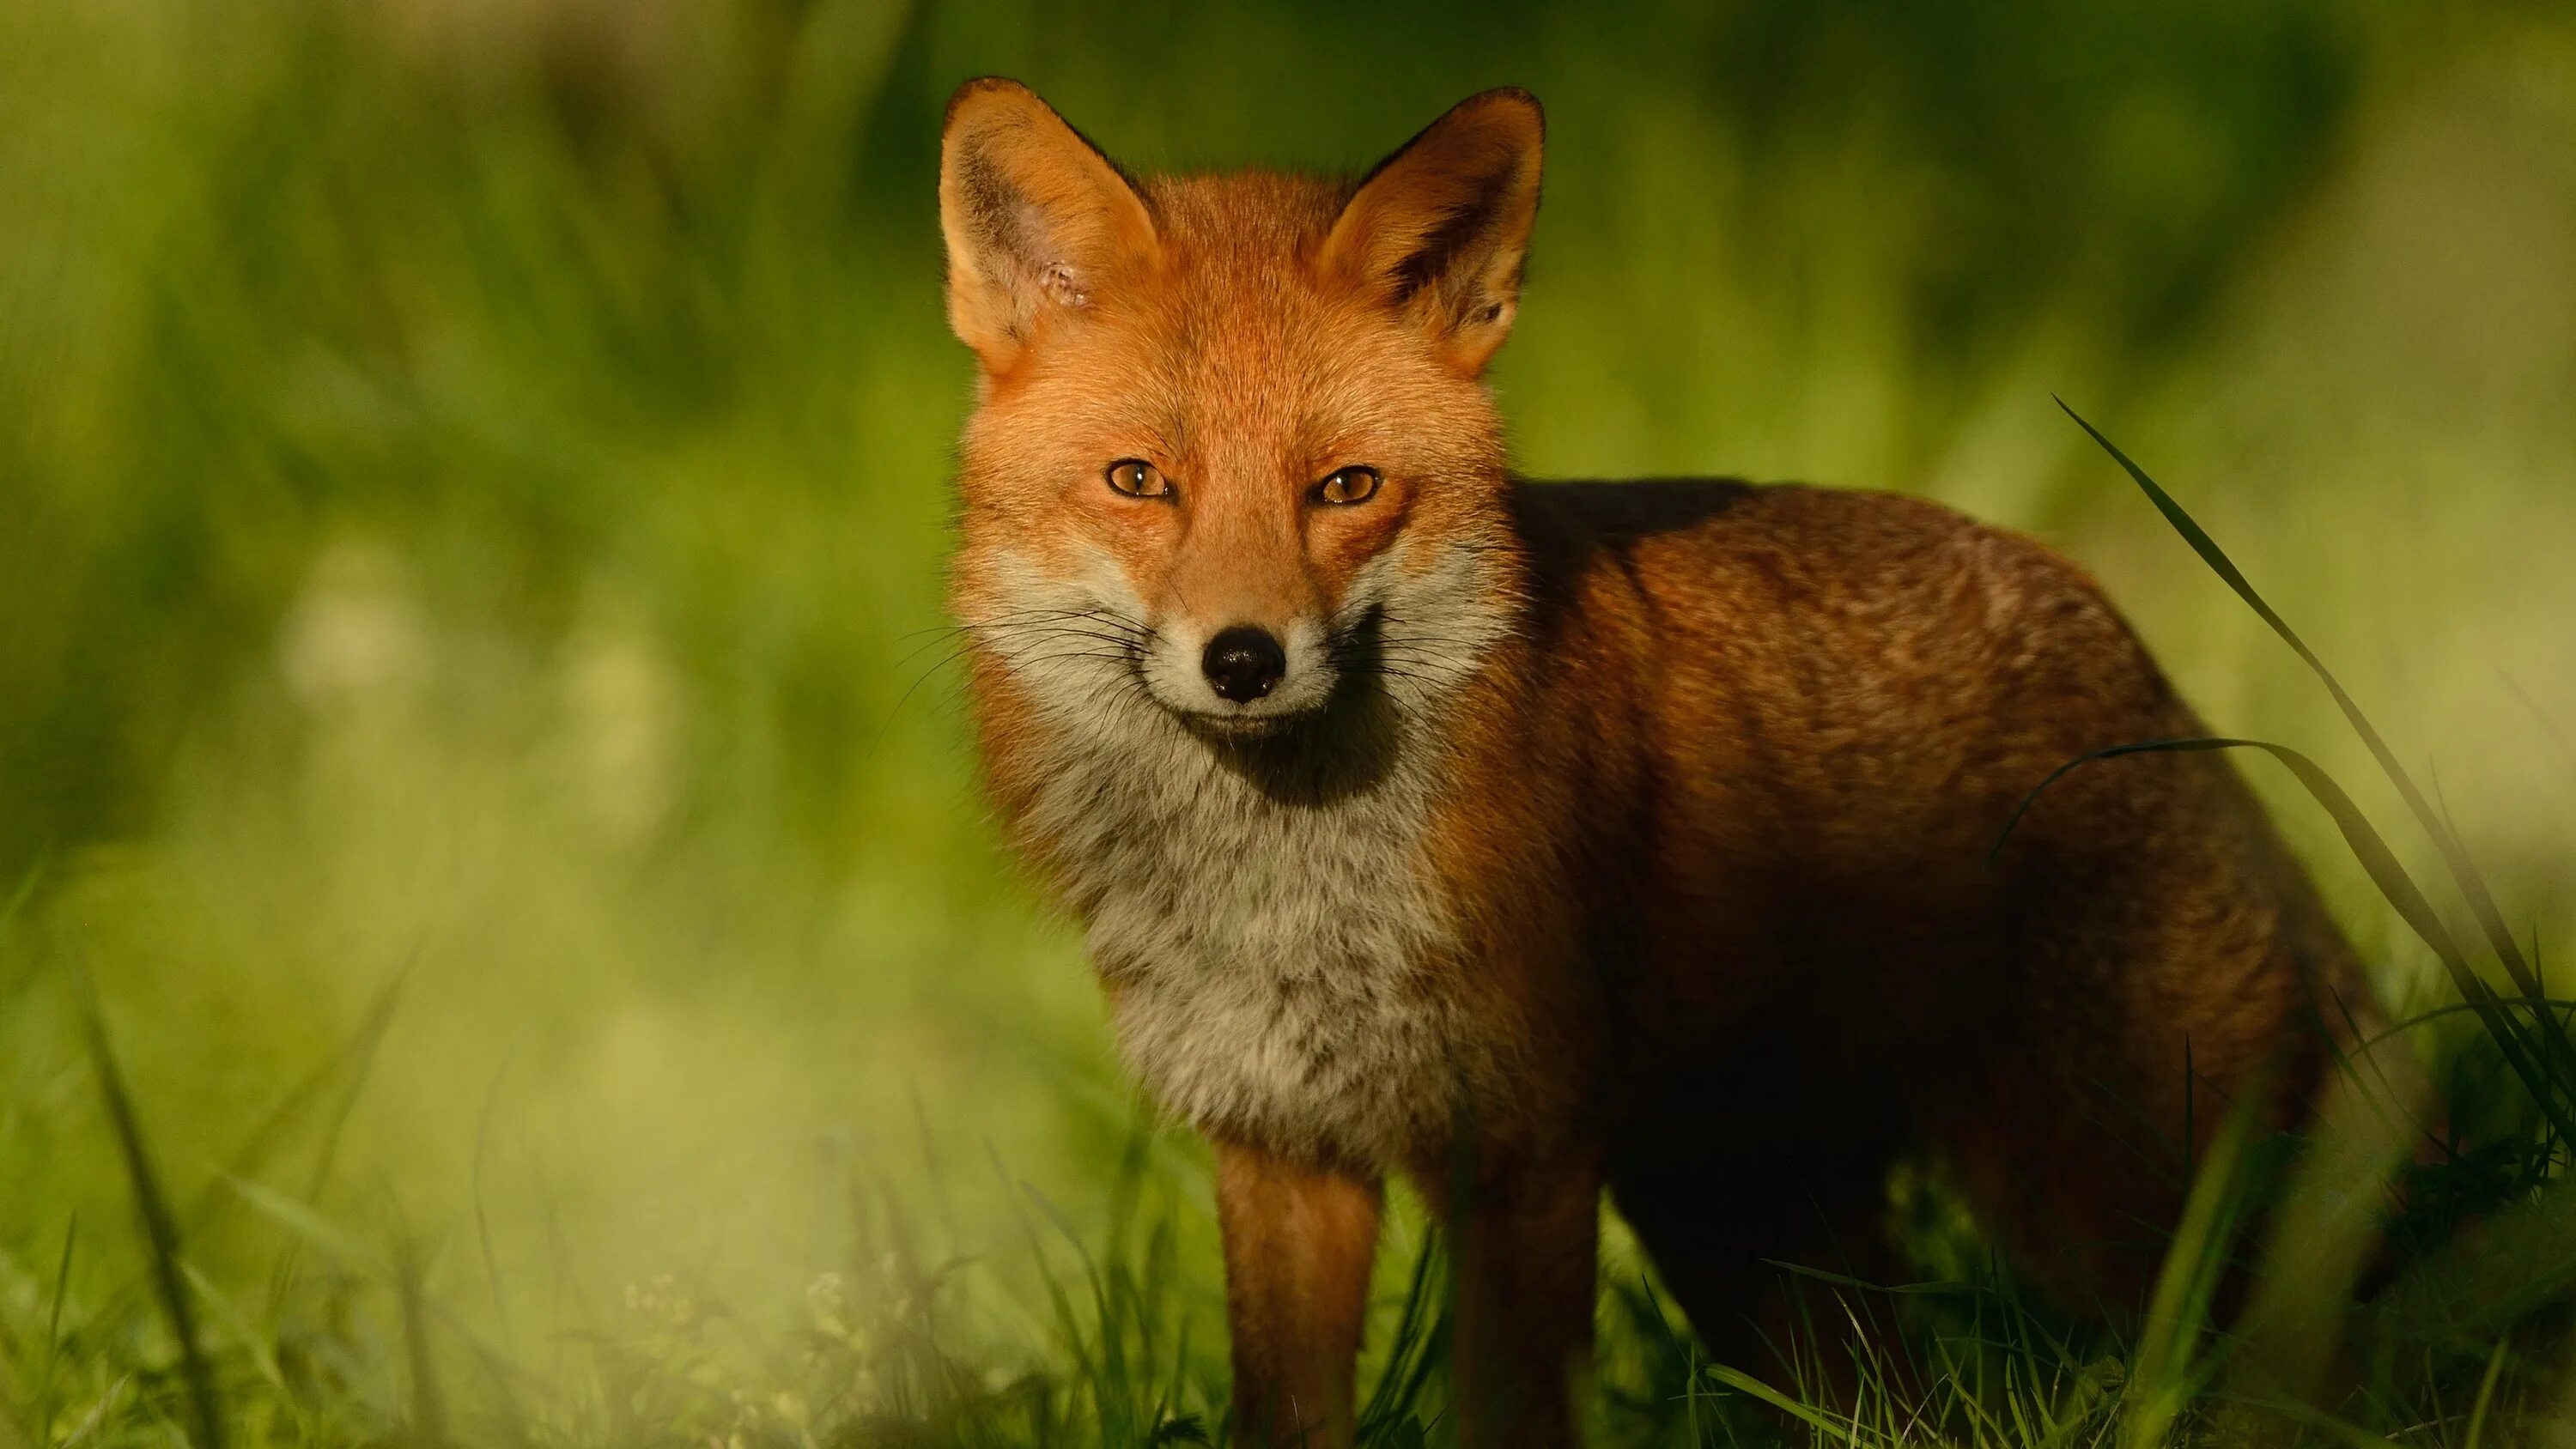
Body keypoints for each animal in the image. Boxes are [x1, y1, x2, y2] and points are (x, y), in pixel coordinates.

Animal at [938, 82, 2380, 1449]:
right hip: (1752, 1237)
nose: (1244, 659)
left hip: (2102, 1204)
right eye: (1140, 481)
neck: (1288, 902)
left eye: (1345, 489)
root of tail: (2132, 650)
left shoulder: (1522, 1153)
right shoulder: (1281, 1149)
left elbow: (1513, 1417)